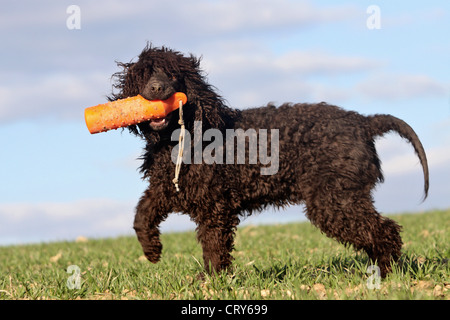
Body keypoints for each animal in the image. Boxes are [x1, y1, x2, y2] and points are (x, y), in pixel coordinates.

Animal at [108, 44, 428, 278]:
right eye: (144, 75)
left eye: (173, 75)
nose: (156, 89)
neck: (179, 139)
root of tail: (364, 122)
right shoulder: (168, 188)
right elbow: (142, 214)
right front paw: (152, 250)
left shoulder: (214, 206)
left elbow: (213, 245)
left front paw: (212, 279)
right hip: (344, 196)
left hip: (334, 199)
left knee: (384, 231)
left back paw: (387, 273)